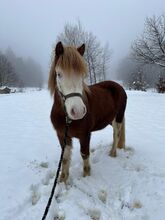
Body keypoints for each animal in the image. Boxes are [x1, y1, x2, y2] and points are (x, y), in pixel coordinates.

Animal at [48, 42, 127, 183]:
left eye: (82, 75)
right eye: (59, 74)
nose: (78, 111)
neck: (66, 117)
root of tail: (118, 86)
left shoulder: (85, 135)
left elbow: (85, 154)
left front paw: (86, 175)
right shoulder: (62, 135)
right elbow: (65, 158)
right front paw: (62, 180)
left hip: (118, 118)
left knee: (116, 134)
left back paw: (112, 153)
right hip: (110, 120)